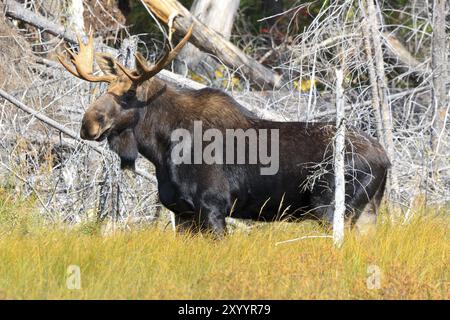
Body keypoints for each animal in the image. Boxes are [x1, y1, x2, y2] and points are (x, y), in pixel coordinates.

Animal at [58, 25, 390, 235]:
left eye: (128, 94)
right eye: (105, 90)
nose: (88, 124)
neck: (162, 150)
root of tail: (386, 159)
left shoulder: (213, 206)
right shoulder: (182, 212)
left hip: (333, 208)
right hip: (367, 213)